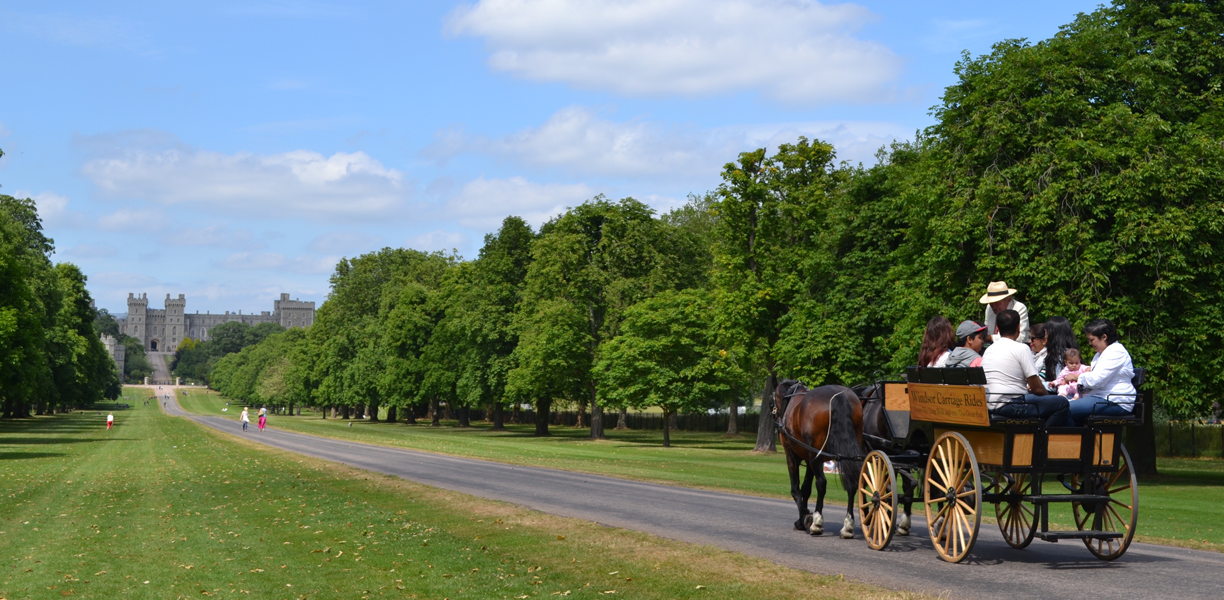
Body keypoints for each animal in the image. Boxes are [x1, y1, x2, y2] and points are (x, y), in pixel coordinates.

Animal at [778, 379, 866, 538]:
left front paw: (805, 517)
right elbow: (806, 489)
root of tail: (839, 397)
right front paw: (803, 517)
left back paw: (817, 523)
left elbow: (796, 489)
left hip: (816, 456)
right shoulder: (810, 459)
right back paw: (848, 525)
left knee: (821, 483)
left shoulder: (792, 456)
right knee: (852, 483)